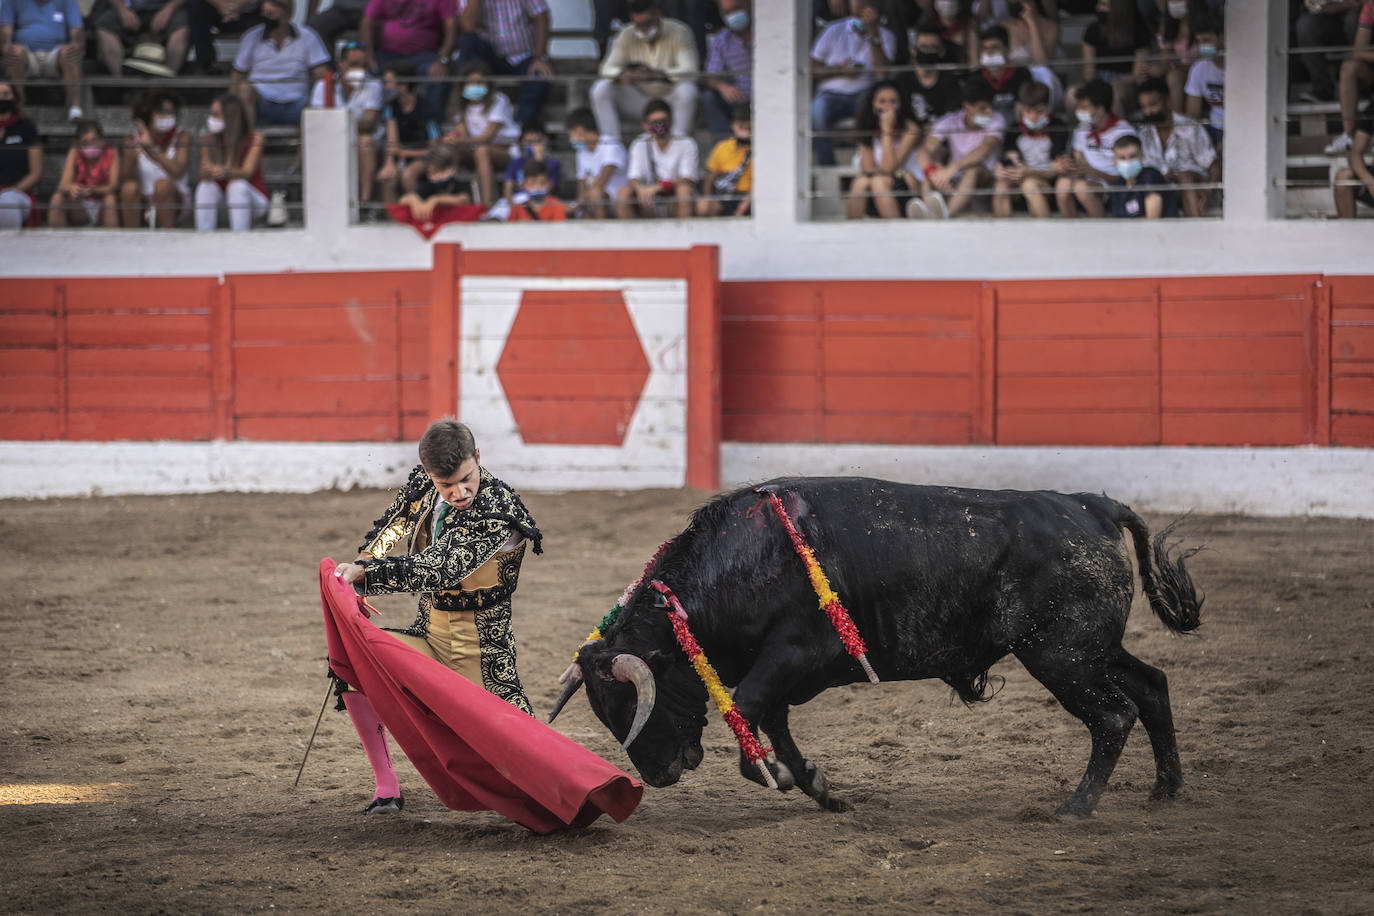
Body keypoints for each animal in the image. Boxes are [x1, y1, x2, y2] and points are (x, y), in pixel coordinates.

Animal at [549, 480, 1203, 818]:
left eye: (636, 704)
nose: (658, 776)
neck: (739, 561)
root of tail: (1093, 505)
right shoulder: (785, 670)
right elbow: (774, 721)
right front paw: (816, 785)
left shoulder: (791, 652)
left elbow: (749, 711)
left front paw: (778, 776)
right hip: (1090, 650)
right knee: (1151, 686)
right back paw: (1166, 789)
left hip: (1059, 656)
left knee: (1113, 714)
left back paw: (1076, 806)